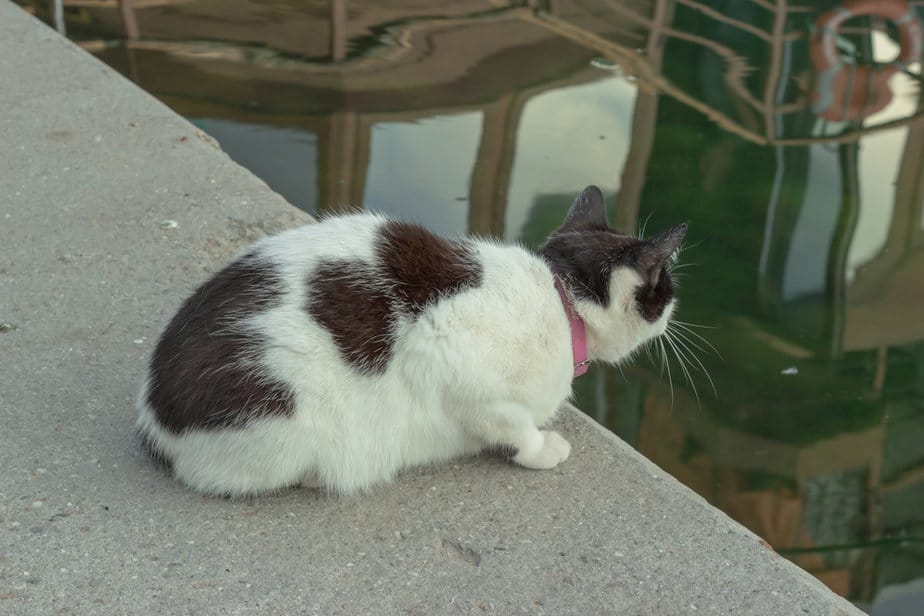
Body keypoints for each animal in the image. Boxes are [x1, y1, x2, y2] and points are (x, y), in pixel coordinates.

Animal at [135, 186, 684, 496]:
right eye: (666, 288)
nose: (674, 311)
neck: (561, 296)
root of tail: (154, 419)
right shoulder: (449, 351)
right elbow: (512, 422)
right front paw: (542, 447)